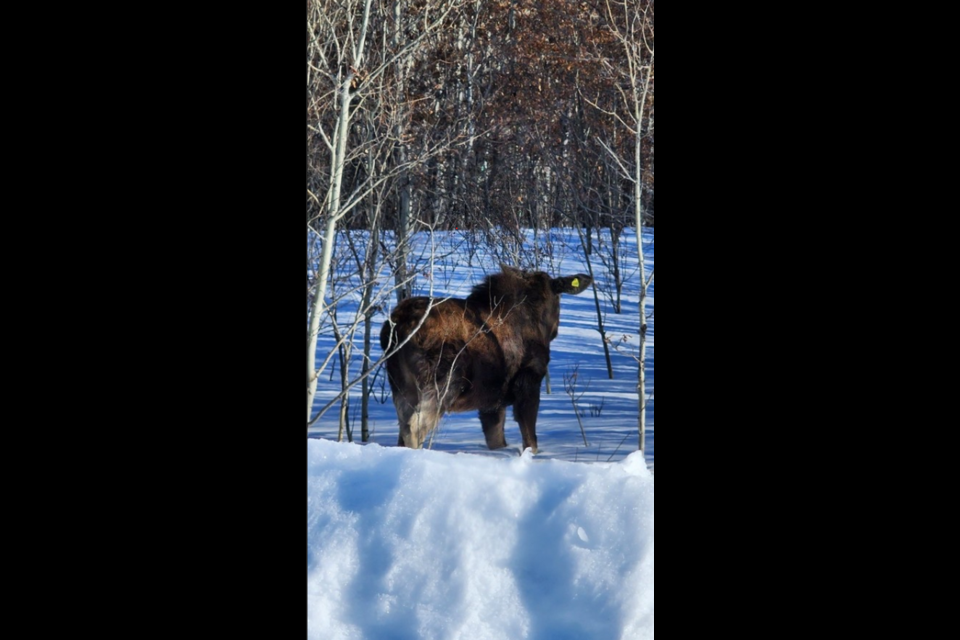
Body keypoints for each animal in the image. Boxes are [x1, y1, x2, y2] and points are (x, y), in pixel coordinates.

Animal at [376, 266, 588, 456]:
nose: (555, 330)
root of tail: (396, 327)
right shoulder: (529, 381)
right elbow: (530, 440)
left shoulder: (493, 400)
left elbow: (496, 439)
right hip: (443, 382)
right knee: (414, 427)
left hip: (401, 386)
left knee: (402, 426)